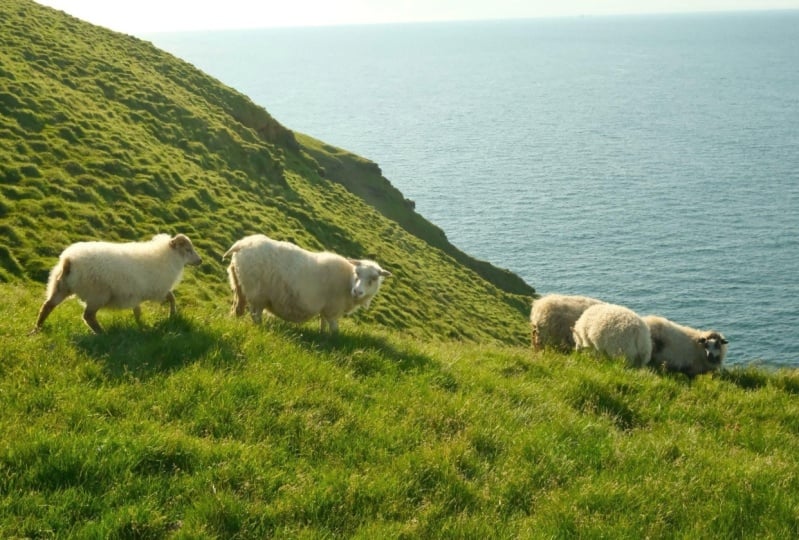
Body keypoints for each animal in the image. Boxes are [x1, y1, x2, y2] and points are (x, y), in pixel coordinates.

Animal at [32, 233, 202, 334]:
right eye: (188, 249)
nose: (200, 261)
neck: (167, 256)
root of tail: (69, 260)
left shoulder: (136, 293)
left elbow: (137, 311)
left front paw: (142, 326)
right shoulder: (157, 290)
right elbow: (172, 297)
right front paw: (172, 315)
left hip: (61, 286)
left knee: (47, 306)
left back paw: (37, 328)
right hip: (97, 294)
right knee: (88, 316)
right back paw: (102, 334)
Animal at [223, 234, 391, 333]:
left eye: (373, 279)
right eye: (357, 273)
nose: (357, 291)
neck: (348, 281)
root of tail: (243, 244)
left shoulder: (325, 309)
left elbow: (323, 325)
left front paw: (323, 336)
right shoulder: (332, 310)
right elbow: (334, 329)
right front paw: (333, 340)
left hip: (239, 284)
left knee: (237, 308)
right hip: (257, 292)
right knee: (255, 314)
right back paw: (261, 328)